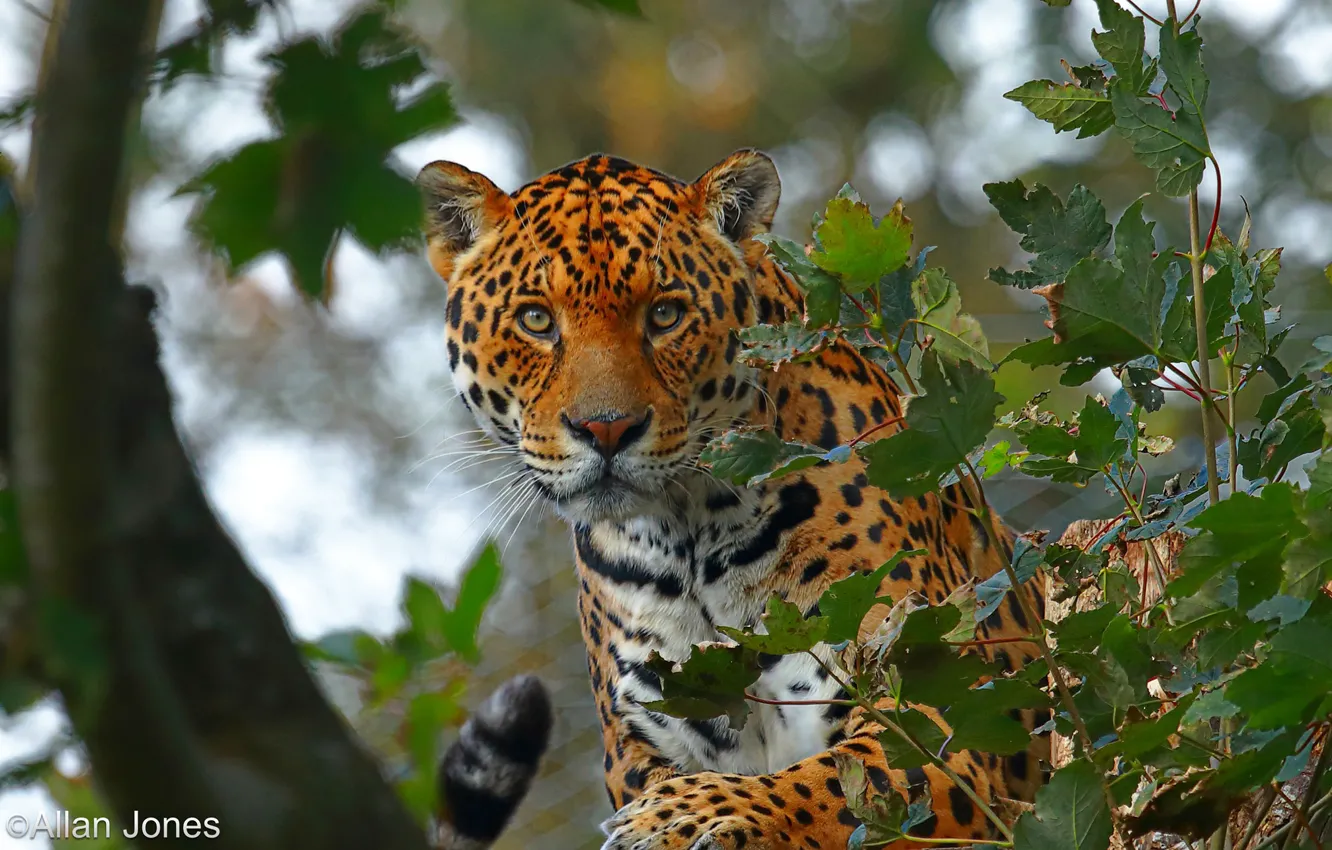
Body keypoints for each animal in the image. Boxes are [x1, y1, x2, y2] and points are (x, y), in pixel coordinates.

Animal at [416, 149, 1051, 850]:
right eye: (536, 320)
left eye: (665, 315)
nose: (605, 429)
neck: (685, 533)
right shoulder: (647, 734)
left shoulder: (936, 715)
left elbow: (834, 786)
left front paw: (685, 815)